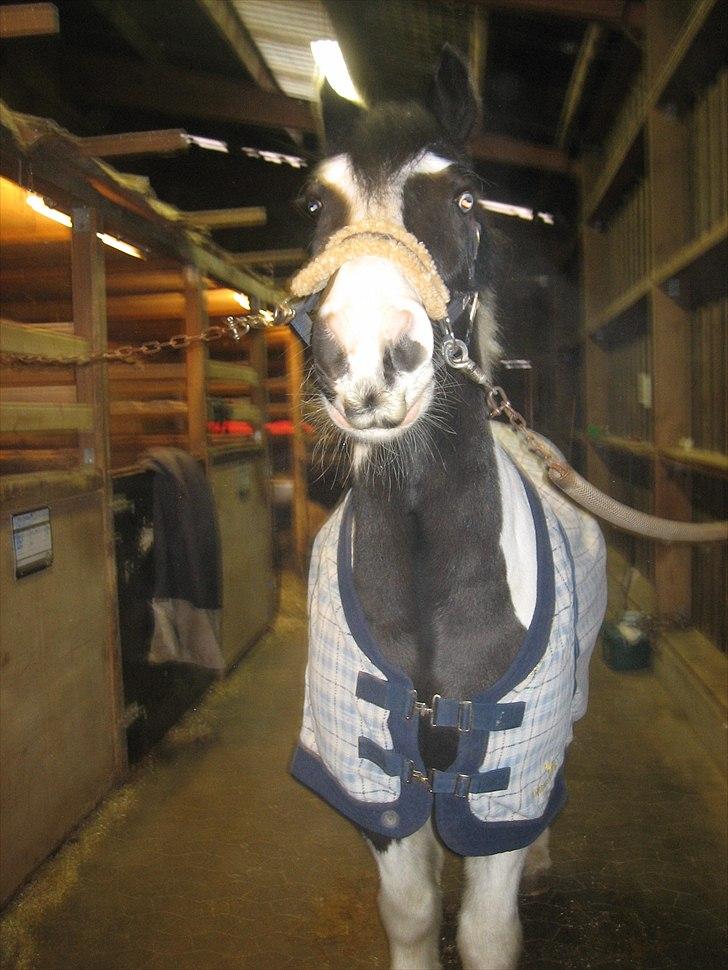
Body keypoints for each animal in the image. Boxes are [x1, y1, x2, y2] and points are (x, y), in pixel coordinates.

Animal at [292, 45, 604, 968]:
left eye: (466, 195)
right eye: (316, 202)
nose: (367, 361)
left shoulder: (499, 770)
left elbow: (487, 929)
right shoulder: (377, 778)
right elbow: (413, 911)